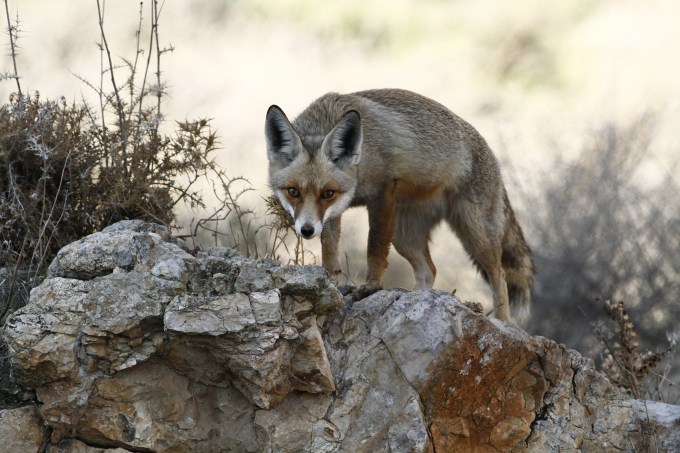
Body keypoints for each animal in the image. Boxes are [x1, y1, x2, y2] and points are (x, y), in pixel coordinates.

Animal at [264, 89, 534, 323]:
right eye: (293, 192)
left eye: (327, 193)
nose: (307, 230)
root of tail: (491, 154)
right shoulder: (332, 215)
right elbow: (330, 253)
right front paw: (331, 285)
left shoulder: (382, 192)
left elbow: (374, 248)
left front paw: (371, 287)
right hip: (405, 238)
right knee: (429, 270)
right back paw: (418, 300)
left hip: (476, 235)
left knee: (499, 274)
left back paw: (504, 320)